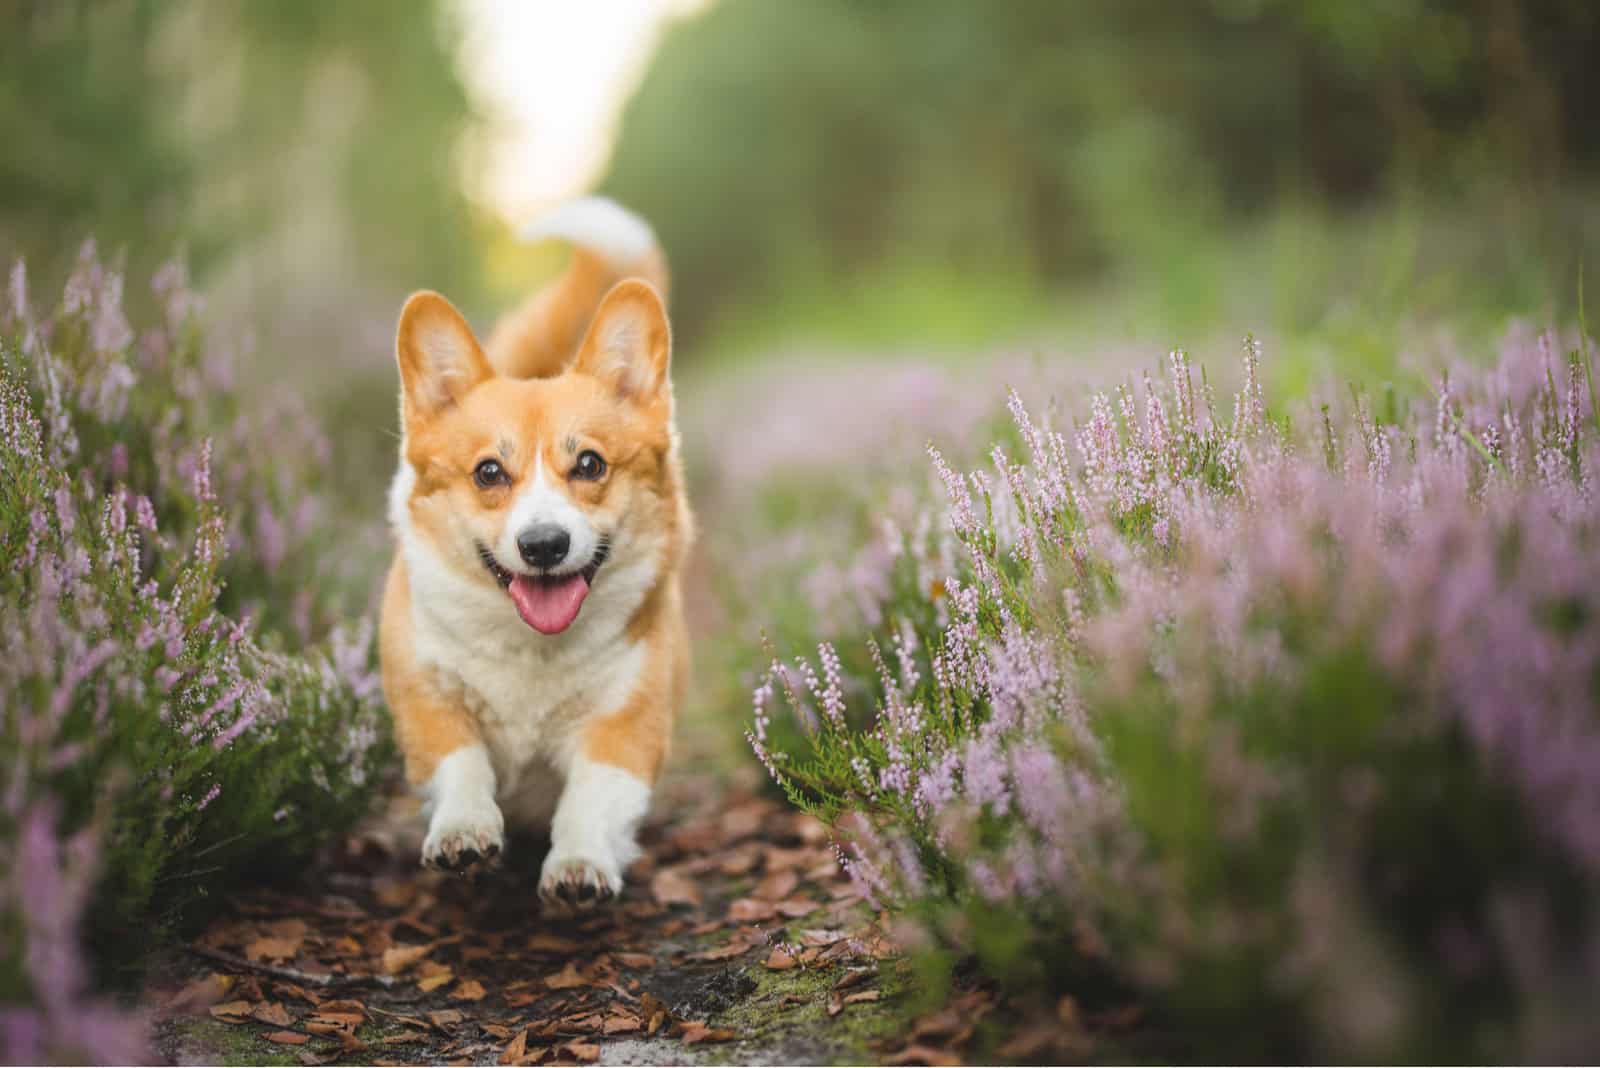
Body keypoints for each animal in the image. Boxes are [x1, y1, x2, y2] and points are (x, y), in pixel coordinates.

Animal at [385, 195, 694, 908]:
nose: (544, 545)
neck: (530, 648)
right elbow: (462, 764)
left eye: (590, 464)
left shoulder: (624, 724)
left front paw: (579, 865)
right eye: (488, 473)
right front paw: (464, 833)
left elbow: (589, 800)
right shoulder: (429, 700)